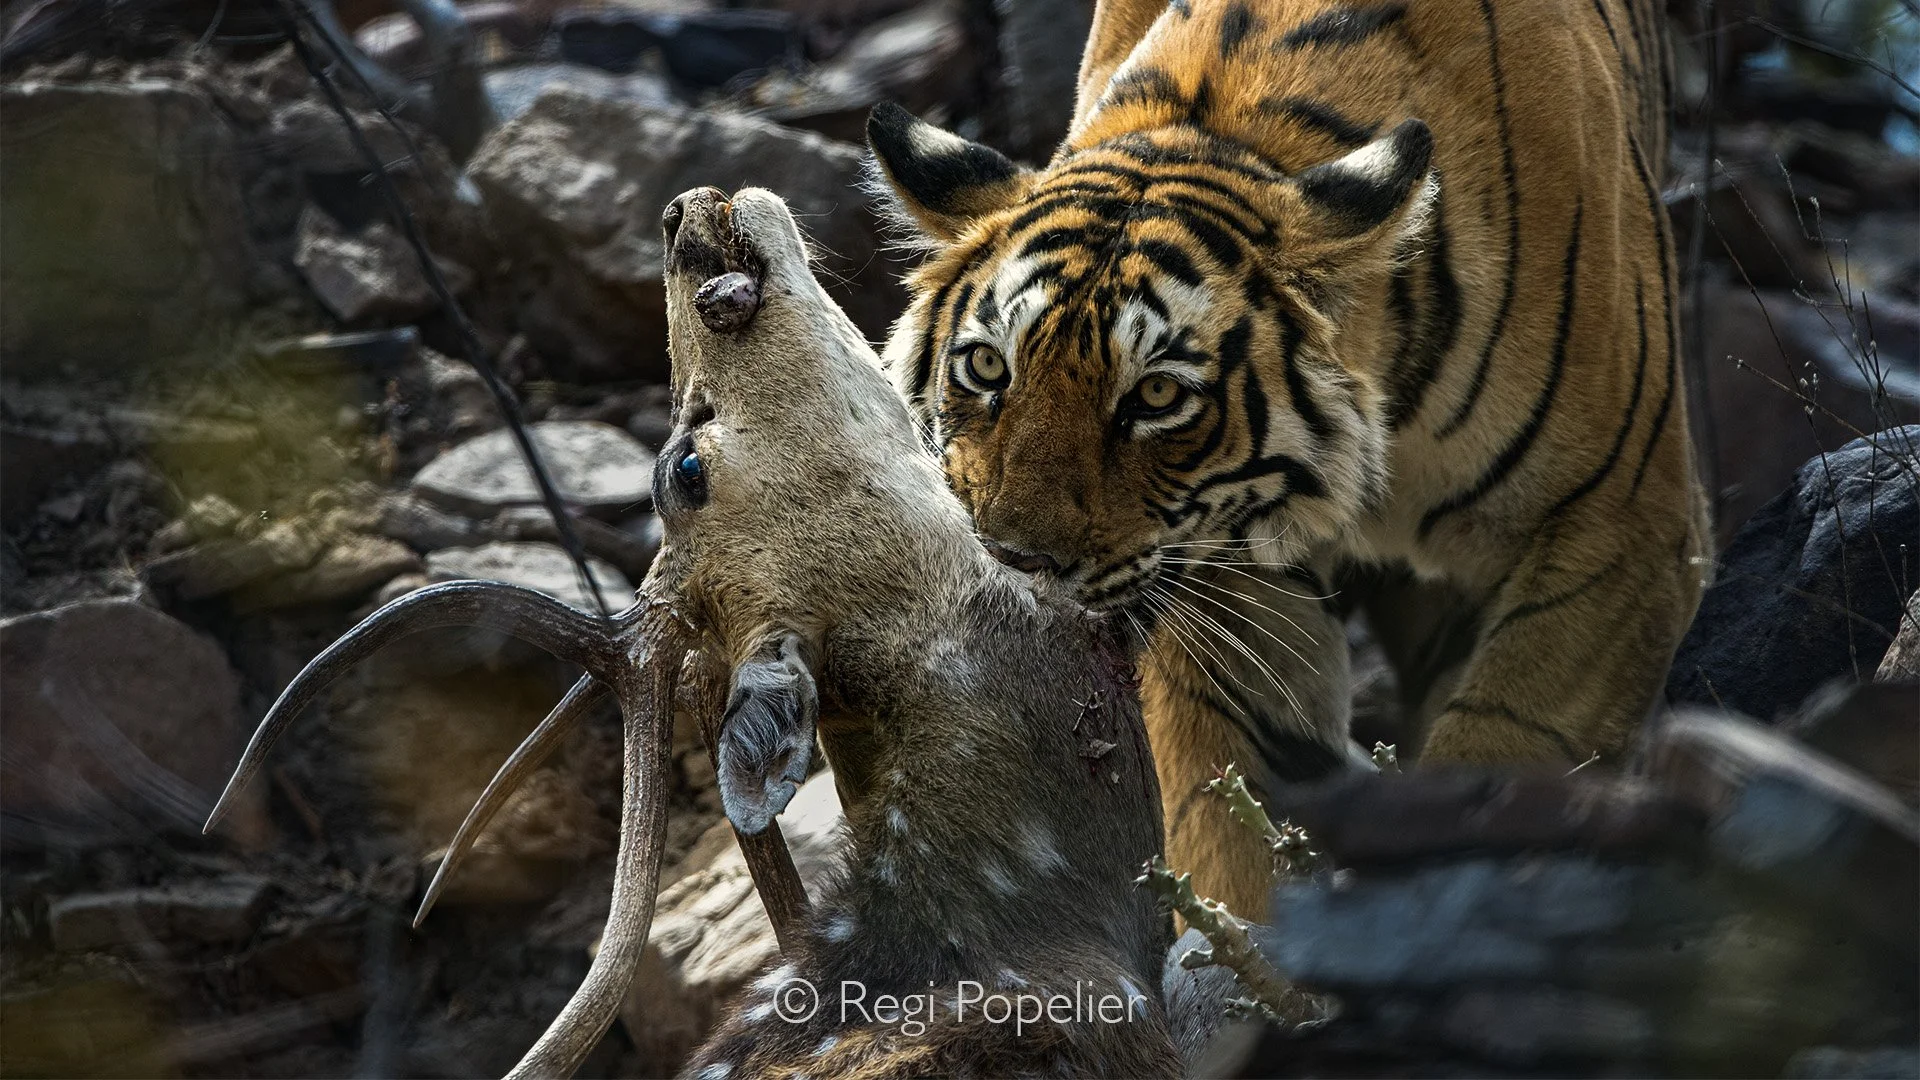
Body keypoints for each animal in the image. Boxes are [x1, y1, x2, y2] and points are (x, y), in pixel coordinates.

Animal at [861, 0, 1713, 918]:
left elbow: (1509, 746)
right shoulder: (1220, 585)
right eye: (989, 368)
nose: (1015, 560)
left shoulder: (1623, 535)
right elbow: (1227, 813)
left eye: (1156, 396)